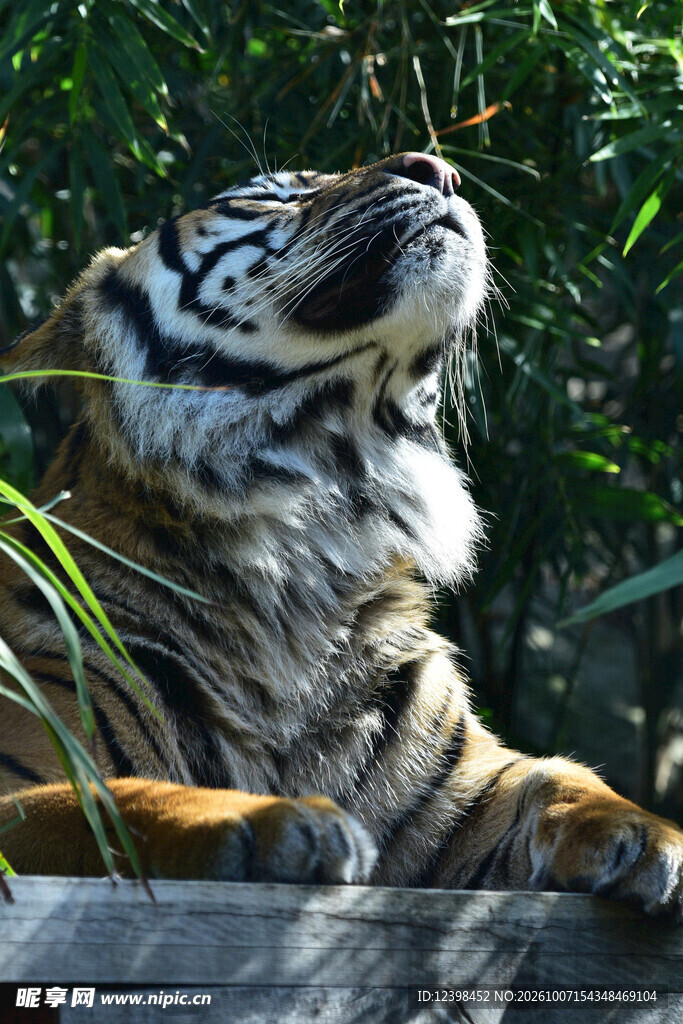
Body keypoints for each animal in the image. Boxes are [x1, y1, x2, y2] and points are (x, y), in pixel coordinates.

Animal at [0, 151, 682, 916]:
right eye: (269, 197)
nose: (438, 167)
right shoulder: (21, 783)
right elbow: (109, 800)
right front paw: (270, 819)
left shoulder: (460, 786)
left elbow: (558, 775)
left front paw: (642, 832)